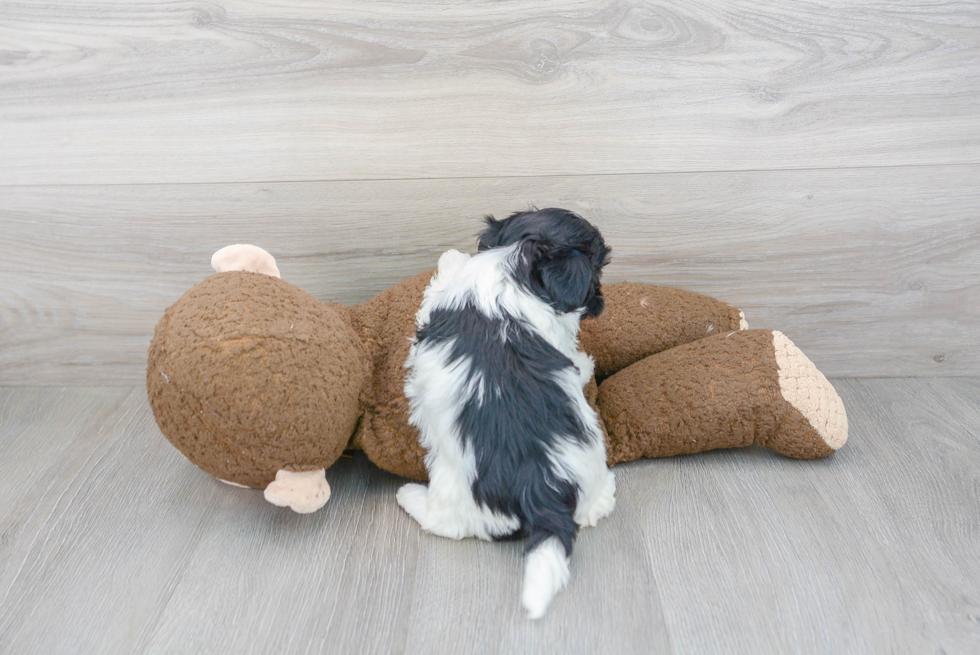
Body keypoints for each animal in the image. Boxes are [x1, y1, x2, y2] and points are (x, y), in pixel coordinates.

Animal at [396, 209, 612, 620]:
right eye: (599, 268)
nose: (601, 303)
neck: (518, 261)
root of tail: (539, 488)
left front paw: (449, 257)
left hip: (453, 484)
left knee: (444, 523)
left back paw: (409, 496)